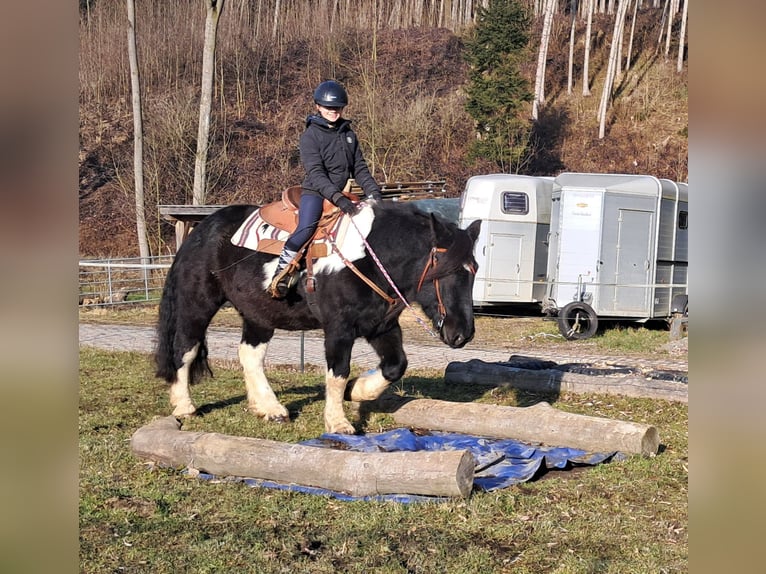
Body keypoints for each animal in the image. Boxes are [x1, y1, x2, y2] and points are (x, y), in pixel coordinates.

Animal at [154, 200, 484, 434]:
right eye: (445, 269)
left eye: (474, 269)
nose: (463, 333)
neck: (370, 258)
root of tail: (201, 230)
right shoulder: (338, 329)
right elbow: (337, 373)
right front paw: (338, 423)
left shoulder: (382, 326)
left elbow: (395, 366)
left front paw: (356, 391)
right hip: (198, 305)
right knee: (185, 349)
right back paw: (185, 407)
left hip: (258, 315)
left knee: (250, 354)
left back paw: (269, 408)